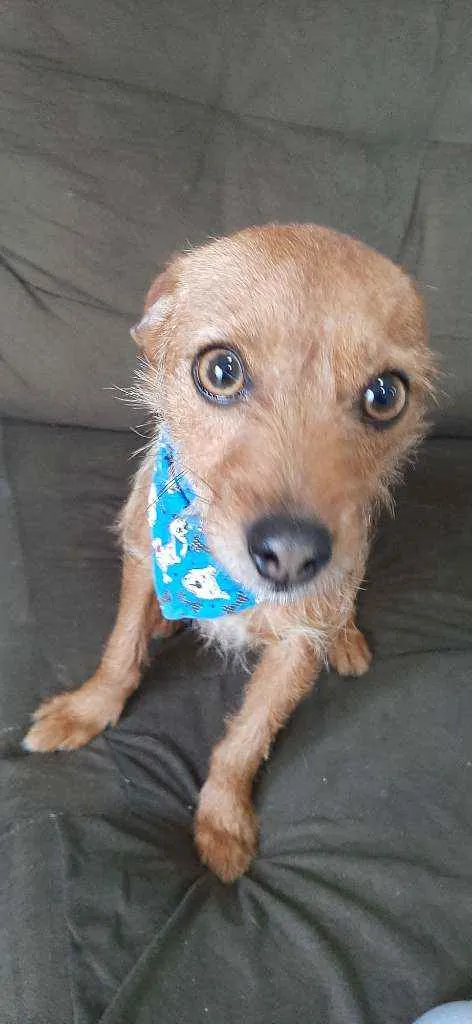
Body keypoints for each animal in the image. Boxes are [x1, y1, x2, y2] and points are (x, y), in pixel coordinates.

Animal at [24, 224, 434, 882]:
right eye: (220, 371)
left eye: (384, 395)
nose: (292, 556)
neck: (214, 579)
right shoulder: (143, 560)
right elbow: (119, 651)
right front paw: (88, 710)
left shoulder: (297, 648)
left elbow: (245, 739)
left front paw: (220, 820)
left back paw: (346, 639)